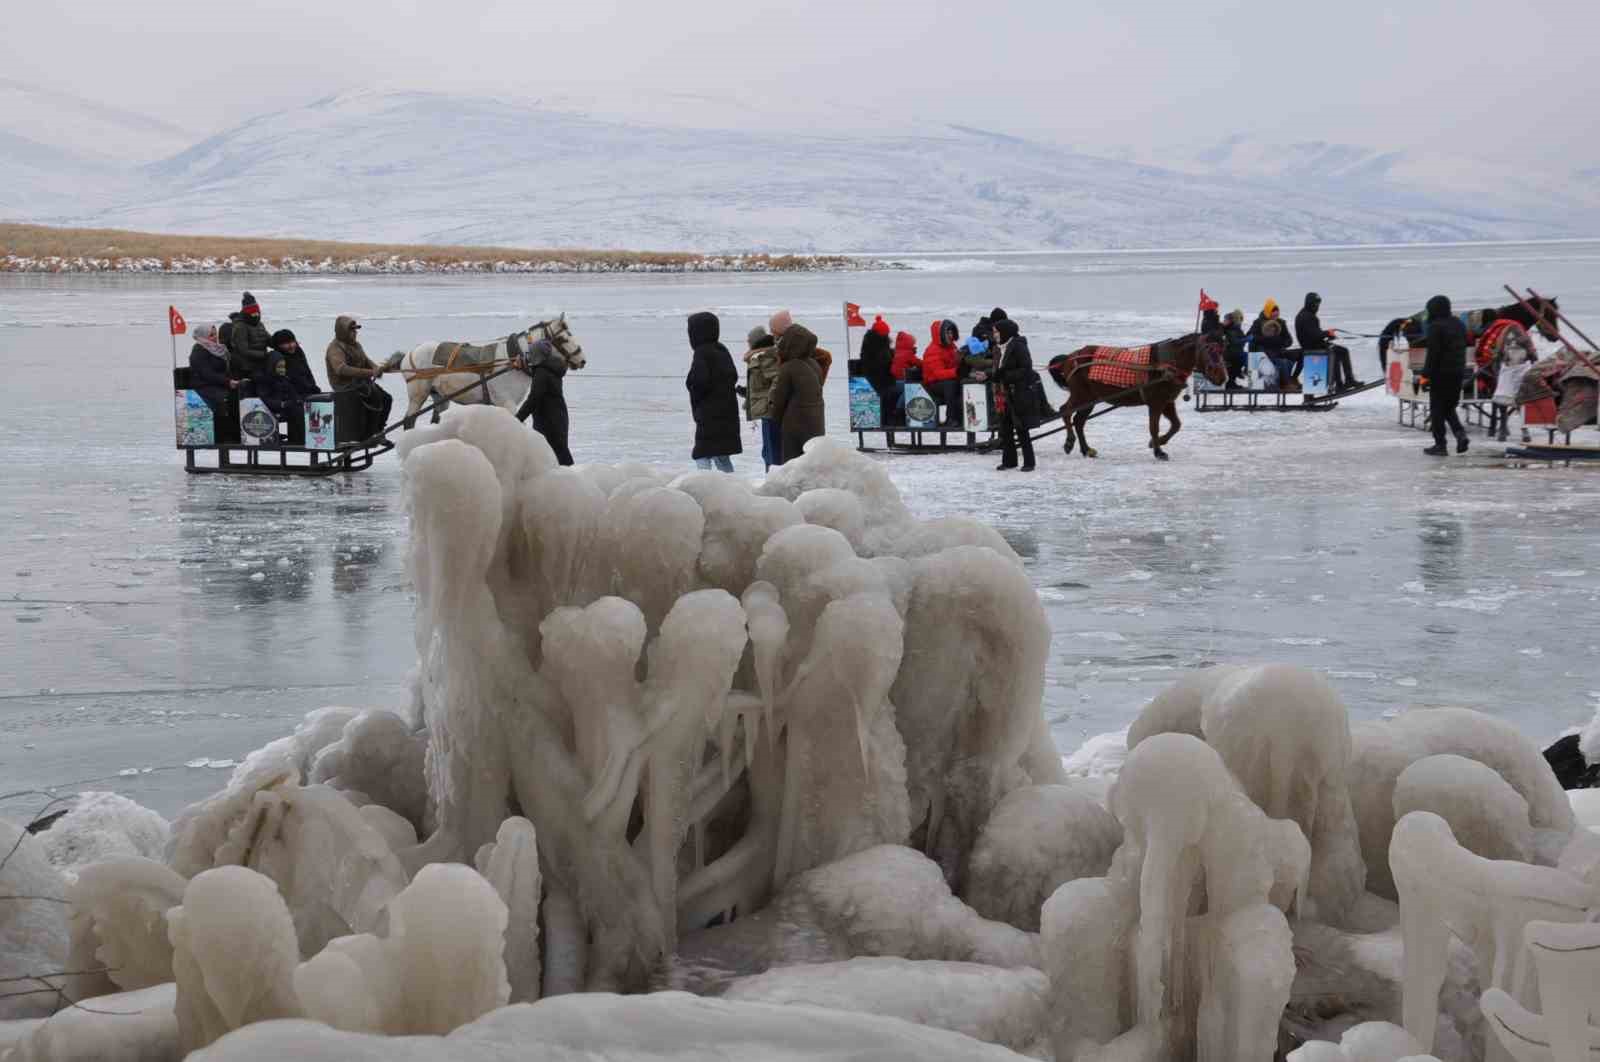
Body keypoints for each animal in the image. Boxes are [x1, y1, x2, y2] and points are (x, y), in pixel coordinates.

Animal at [390, 315, 592, 431]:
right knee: (409, 421)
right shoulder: (507, 403)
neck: (515, 359)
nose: (582, 360)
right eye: (564, 338)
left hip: (439, 396)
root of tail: (409, 354)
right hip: (418, 394)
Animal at [1049, 332, 1222, 460]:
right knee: (1065, 411)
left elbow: (1176, 425)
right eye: (1209, 350)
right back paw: (1069, 442)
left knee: (1079, 421)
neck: (1166, 365)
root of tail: (1070, 357)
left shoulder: (1167, 402)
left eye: (1222, 350)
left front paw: (1157, 443)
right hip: (1081, 395)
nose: (1222, 376)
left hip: (1090, 398)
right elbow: (1154, 427)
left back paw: (1086, 449)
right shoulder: (1156, 403)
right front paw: (1159, 452)